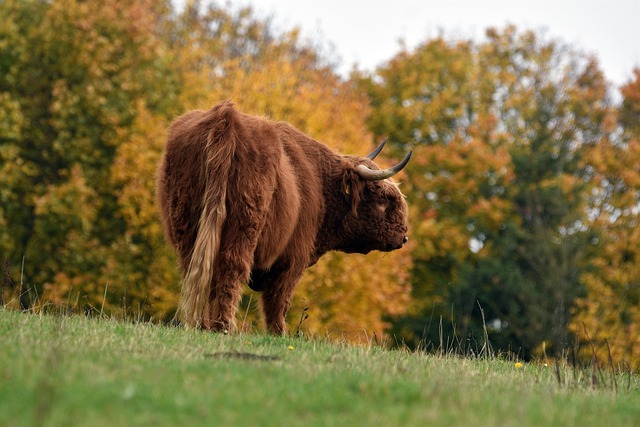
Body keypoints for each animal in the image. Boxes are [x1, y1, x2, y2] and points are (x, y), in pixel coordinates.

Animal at [158, 101, 412, 334]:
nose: (404, 236)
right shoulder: (293, 258)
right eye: (383, 199)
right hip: (244, 226)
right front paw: (279, 333)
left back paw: (201, 324)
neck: (320, 184)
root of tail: (226, 116)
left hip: (186, 222)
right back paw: (224, 326)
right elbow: (279, 299)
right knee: (231, 268)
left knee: (195, 269)